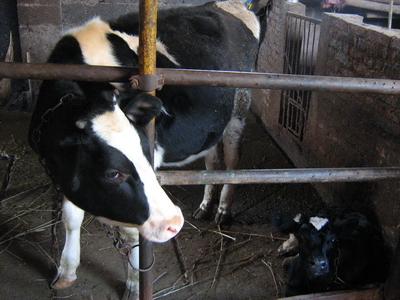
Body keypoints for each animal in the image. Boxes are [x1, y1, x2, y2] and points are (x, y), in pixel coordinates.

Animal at [28, 0, 260, 298]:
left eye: (146, 154)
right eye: (113, 173)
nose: (175, 222)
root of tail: (232, 6)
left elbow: (130, 234)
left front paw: (135, 284)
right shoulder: (68, 172)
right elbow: (71, 216)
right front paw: (66, 272)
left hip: (239, 108)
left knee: (232, 161)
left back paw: (222, 209)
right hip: (212, 125)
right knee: (212, 161)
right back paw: (205, 206)